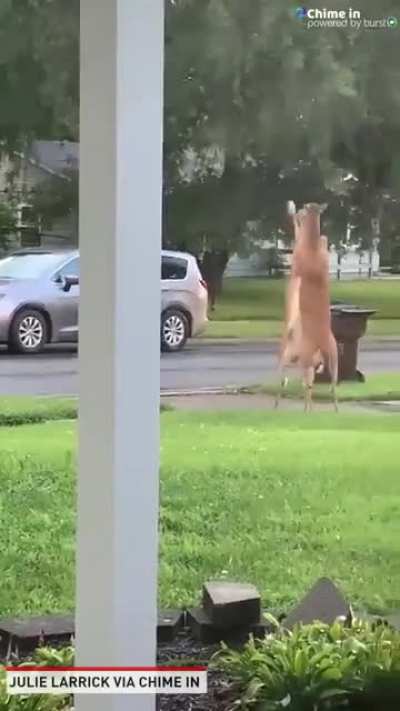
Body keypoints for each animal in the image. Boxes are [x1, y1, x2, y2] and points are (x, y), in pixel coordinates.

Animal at [275, 202, 338, 412]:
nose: (301, 208)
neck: (312, 247)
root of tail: (320, 345)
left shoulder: (297, 260)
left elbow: (297, 234)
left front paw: (292, 209)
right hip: (333, 357)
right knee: (328, 386)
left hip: (302, 356)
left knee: (296, 381)